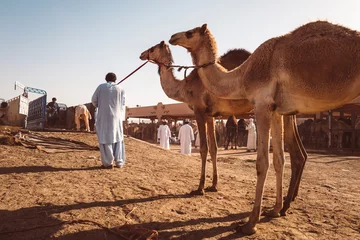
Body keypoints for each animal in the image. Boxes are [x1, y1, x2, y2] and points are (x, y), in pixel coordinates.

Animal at [139, 40, 308, 210]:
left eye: (152, 48)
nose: (141, 54)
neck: (185, 87)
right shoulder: (210, 116)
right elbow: (214, 149)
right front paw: (213, 185)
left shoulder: (199, 110)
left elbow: (204, 148)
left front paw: (199, 188)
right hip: (289, 112)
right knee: (301, 153)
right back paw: (291, 197)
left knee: (296, 154)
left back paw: (285, 204)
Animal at [170, 21, 360, 234]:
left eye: (190, 33)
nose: (172, 37)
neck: (243, 74)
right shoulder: (275, 109)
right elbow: (279, 160)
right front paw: (274, 210)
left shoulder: (261, 104)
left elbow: (262, 163)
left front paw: (250, 223)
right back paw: (285, 205)